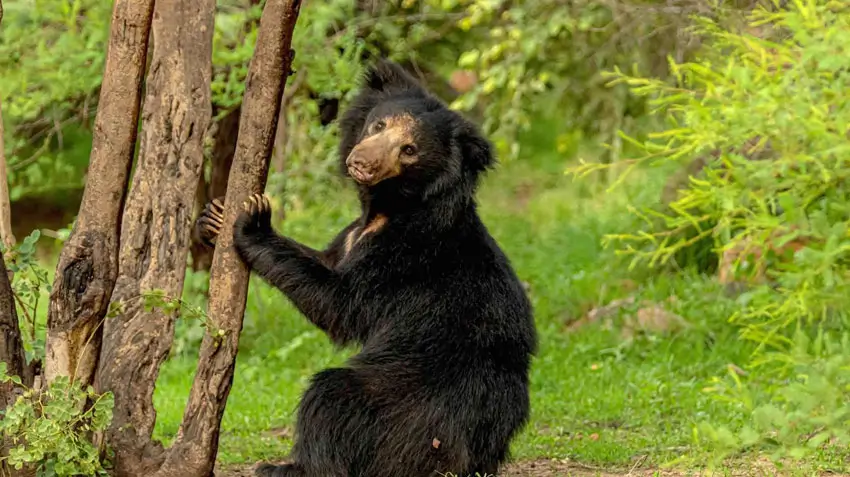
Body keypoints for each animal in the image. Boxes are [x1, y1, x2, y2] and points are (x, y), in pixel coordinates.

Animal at [196, 59, 537, 477]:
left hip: (405, 405)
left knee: (331, 398)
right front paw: (212, 217)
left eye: (409, 150)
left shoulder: (405, 254)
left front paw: (254, 220)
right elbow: (324, 260)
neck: (386, 208)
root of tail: (468, 455)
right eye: (378, 125)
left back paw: (287, 467)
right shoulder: (350, 235)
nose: (362, 162)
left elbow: (339, 302)